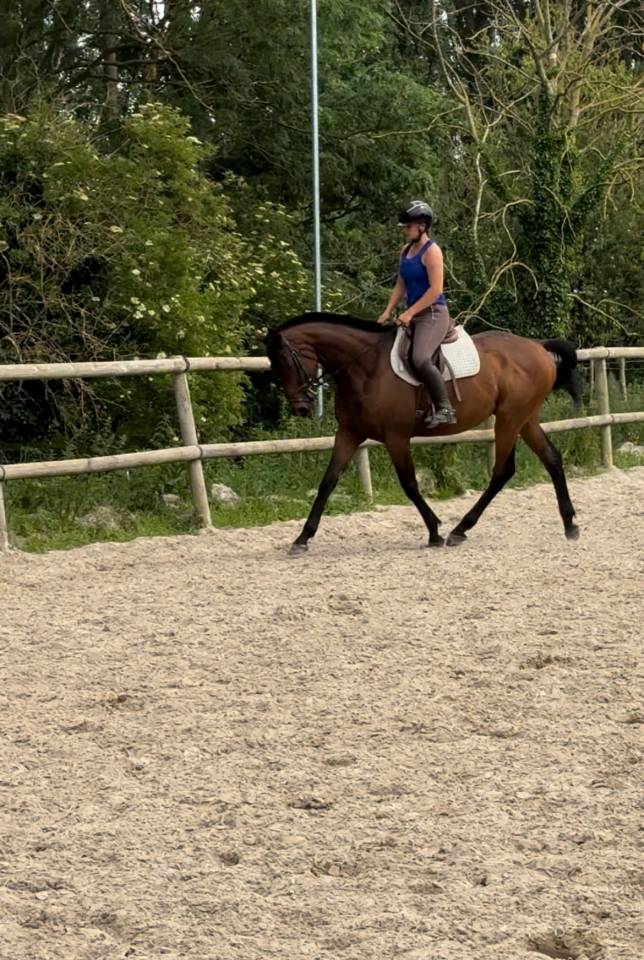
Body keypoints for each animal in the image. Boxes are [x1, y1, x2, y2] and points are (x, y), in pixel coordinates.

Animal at [265, 312, 581, 555]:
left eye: (286, 361)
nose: (300, 407)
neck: (366, 367)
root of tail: (537, 346)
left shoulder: (395, 437)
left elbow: (409, 484)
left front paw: (434, 532)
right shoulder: (348, 433)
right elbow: (327, 482)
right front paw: (302, 538)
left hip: (509, 419)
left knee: (503, 470)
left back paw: (459, 530)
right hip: (525, 419)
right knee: (552, 458)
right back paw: (570, 525)